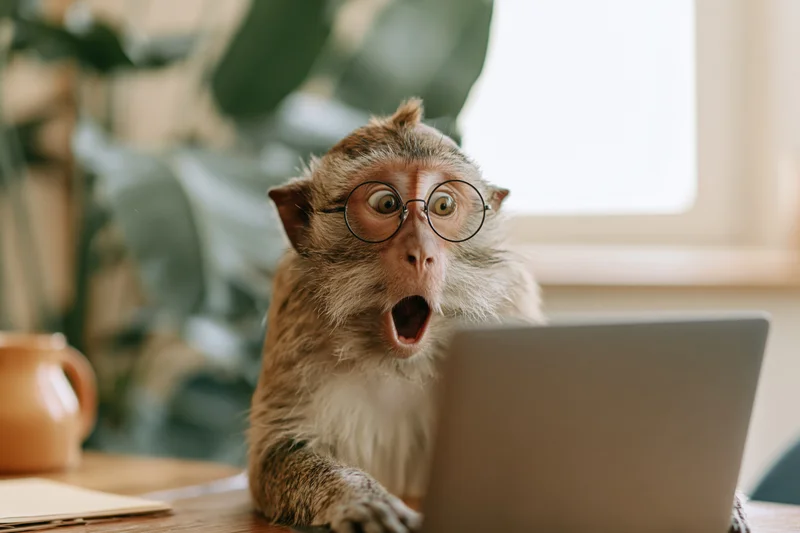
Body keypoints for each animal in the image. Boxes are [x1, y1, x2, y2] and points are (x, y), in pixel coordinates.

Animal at [246, 98, 751, 533]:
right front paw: (360, 498)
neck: (397, 359)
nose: (421, 254)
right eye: (385, 204)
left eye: (444, 205)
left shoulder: (512, 301)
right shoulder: (297, 318)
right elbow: (276, 453)